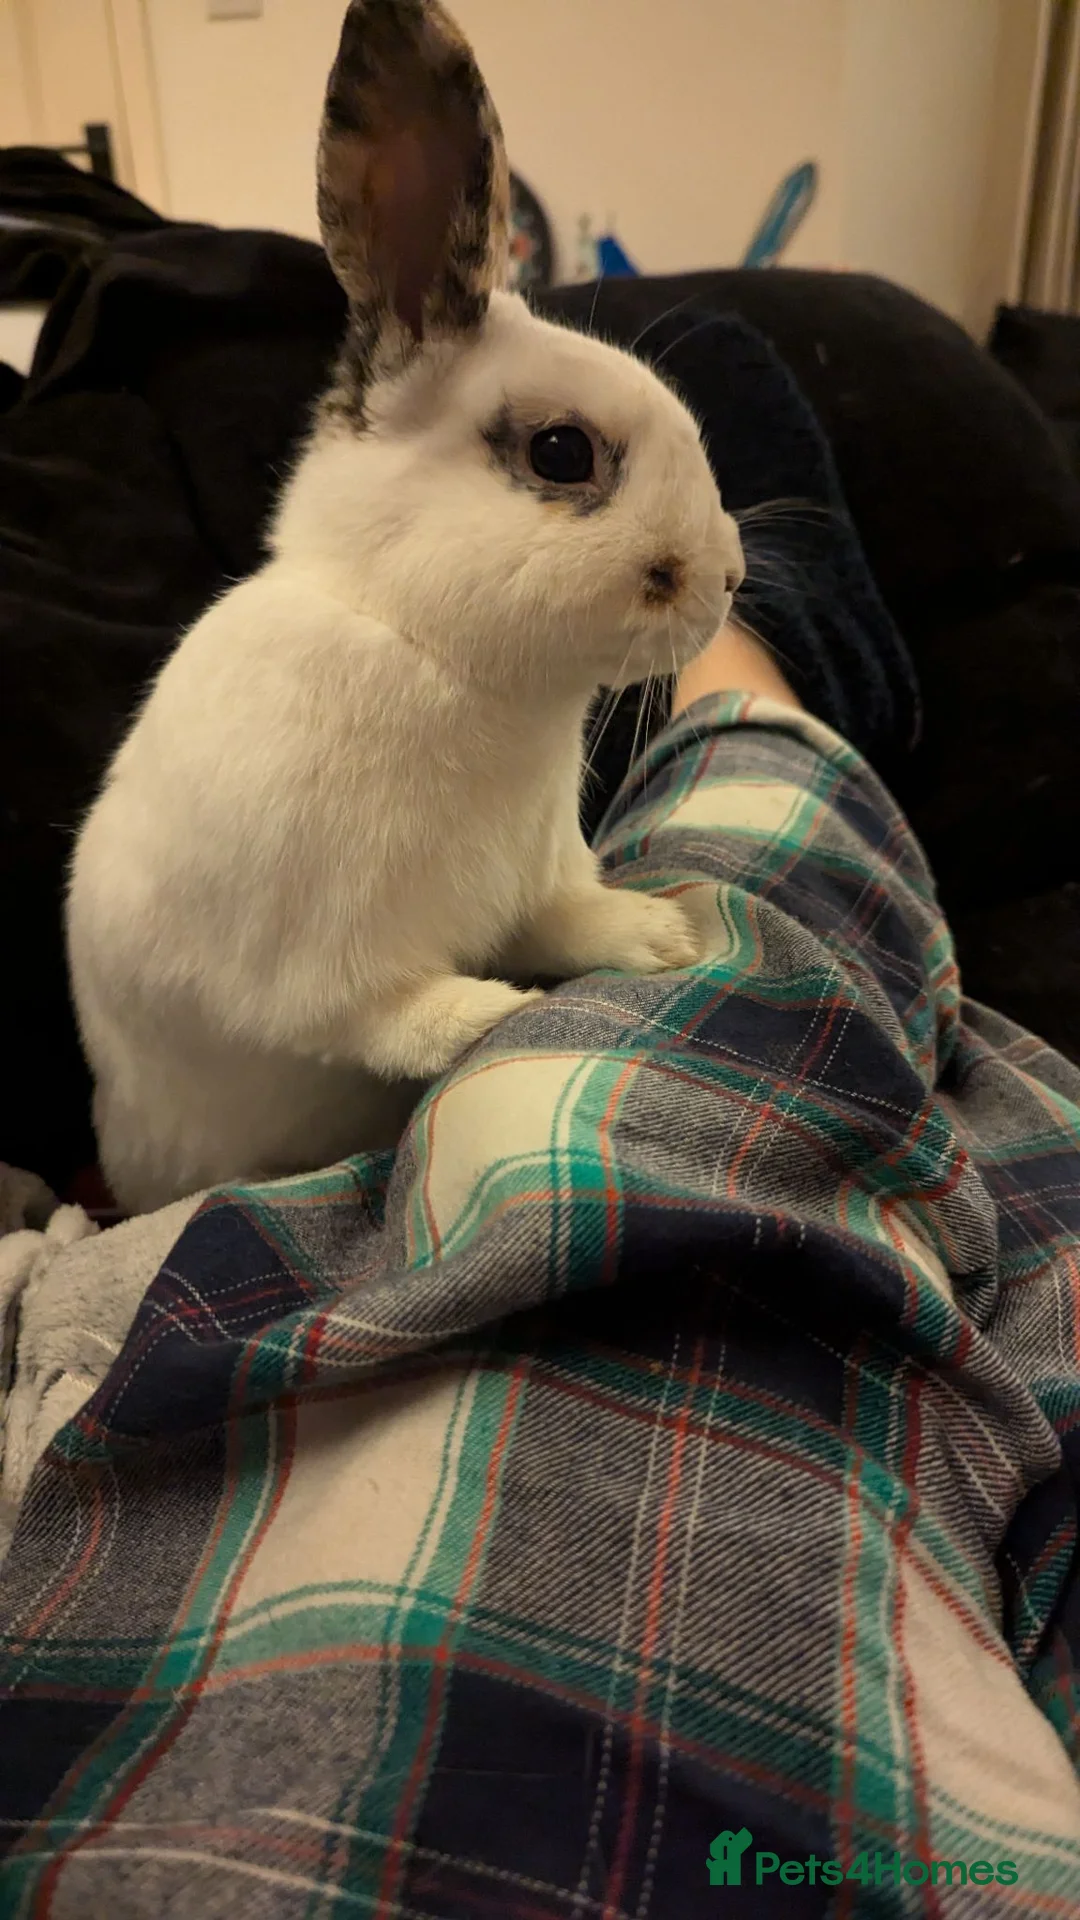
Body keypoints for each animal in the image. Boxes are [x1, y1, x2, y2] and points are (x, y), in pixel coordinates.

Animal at [65, 0, 745, 1216]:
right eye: (561, 453)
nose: (729, 580)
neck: (434, 652)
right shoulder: (312, 961)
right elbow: (377, 1014)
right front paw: (495, 1016)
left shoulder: (534, 878)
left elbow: (563, 917)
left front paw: (654, 935)